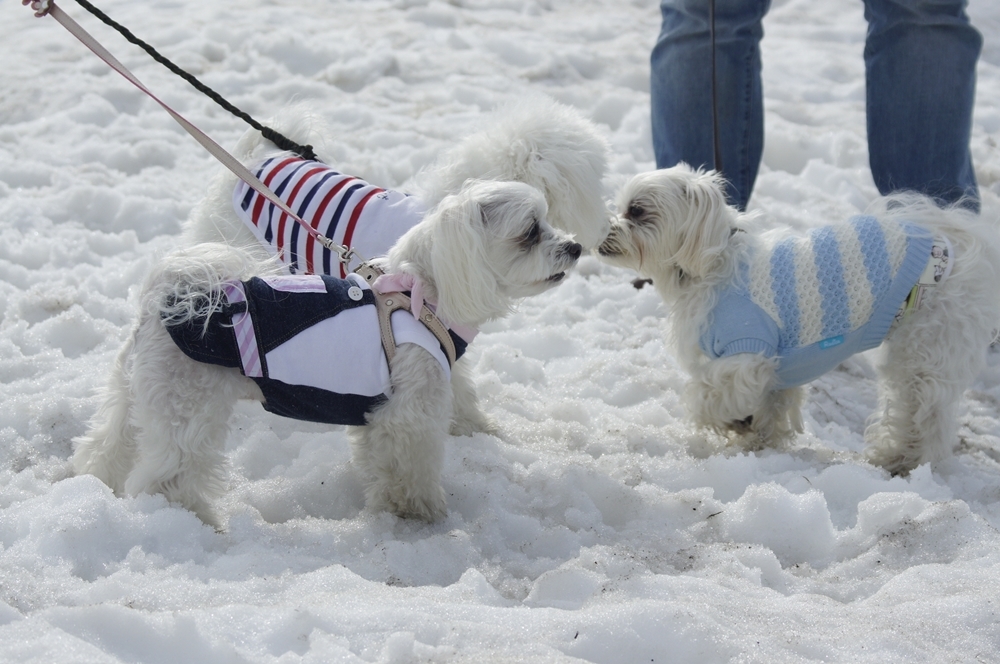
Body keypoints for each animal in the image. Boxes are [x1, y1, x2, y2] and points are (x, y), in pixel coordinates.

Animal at [74, 179, 584, 528]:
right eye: (529, 232)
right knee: (170, 476)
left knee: (109, 444)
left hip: (135, 392)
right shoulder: (409, 414)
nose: (576, 246)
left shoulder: (386, 409)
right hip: (186, 406)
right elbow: (410, 469)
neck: (420, 296)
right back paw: (191, 523)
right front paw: (420, 514)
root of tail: (168, 296)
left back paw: (94, 483)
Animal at [596, 165, 996, 478]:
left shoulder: (748, 352)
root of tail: (951, 246)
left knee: (924, 414)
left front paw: (731, 422)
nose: (601, 232)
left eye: (637, 210)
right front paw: (757, 437)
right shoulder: (778, 368)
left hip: (925, 347)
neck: (711, 267)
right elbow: (771, 406)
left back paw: (904, 459)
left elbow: (709, 395)